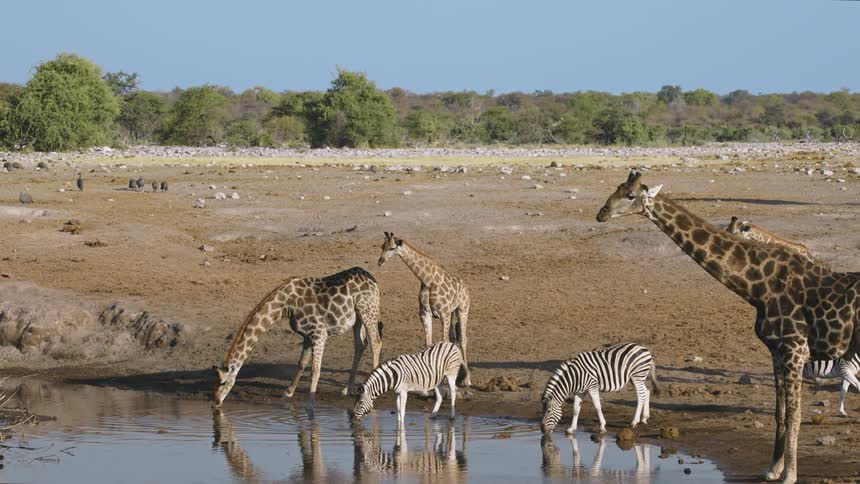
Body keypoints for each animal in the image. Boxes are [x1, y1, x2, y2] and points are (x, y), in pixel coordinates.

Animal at [212, 267, 382, 407]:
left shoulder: (319, 334)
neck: (285, 306)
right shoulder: (308, 335)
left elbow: (315, 370)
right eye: (216, 382)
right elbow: (302, 363)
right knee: (361, 344)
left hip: (368, 310)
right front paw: (288, 392)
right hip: (357, 317)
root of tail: (372, 279)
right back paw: (347, 389)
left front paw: (310, 400)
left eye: (223, 382)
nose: (215, 402)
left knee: (376, 343)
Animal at [378, 232, 472, 386]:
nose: (380, 262)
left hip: (462, 309)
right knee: (454, 338)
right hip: (452, 312)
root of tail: (465, 286)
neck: (427, 280)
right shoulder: (425, 314)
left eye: (392, 248)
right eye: (382, 246)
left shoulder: (443, 314)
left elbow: (444, 341)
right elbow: (429, 344)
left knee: (463, 339)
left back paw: (467, 380)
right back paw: (459, 376)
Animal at [596, 171, 859, 484]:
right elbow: (779, 413)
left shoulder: (796, 350)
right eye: (616, 188)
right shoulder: (777, 352)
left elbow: (794, 414)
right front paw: (773, 469)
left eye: (631, 195)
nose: (601, 213)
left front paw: (790, 475)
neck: (759, 287)